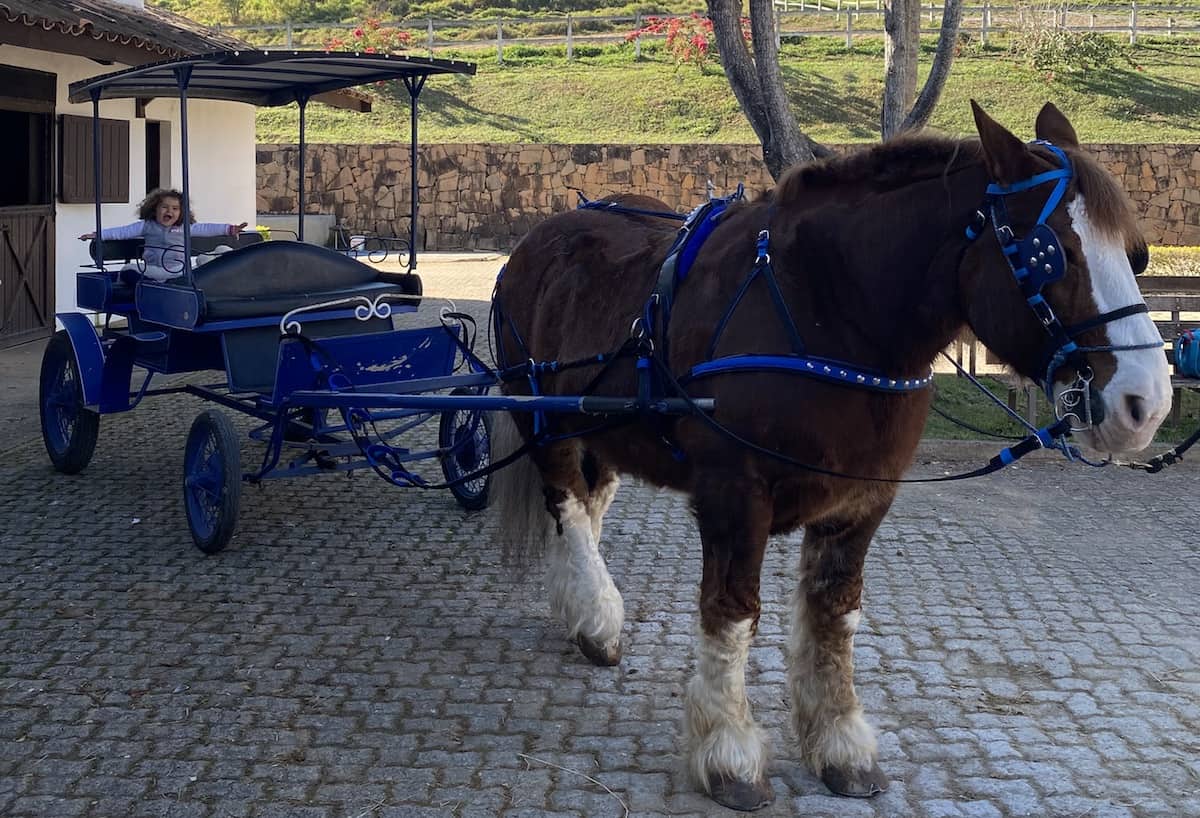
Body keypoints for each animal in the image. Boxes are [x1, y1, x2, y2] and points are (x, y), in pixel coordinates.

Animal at [484, 103, 1161, 810]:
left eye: (1134, 253)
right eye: (1052, 254)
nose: (1146, 402)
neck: (824, 308)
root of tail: (540, 236)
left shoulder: (862, 498)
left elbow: (835, 617)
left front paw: (839, 745)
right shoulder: (735, 495)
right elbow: (732, 614)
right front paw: (728, 752)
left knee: (589, 508)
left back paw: (585, 614)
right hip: (544, 419)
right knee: (566, 505)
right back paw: (594, 613)